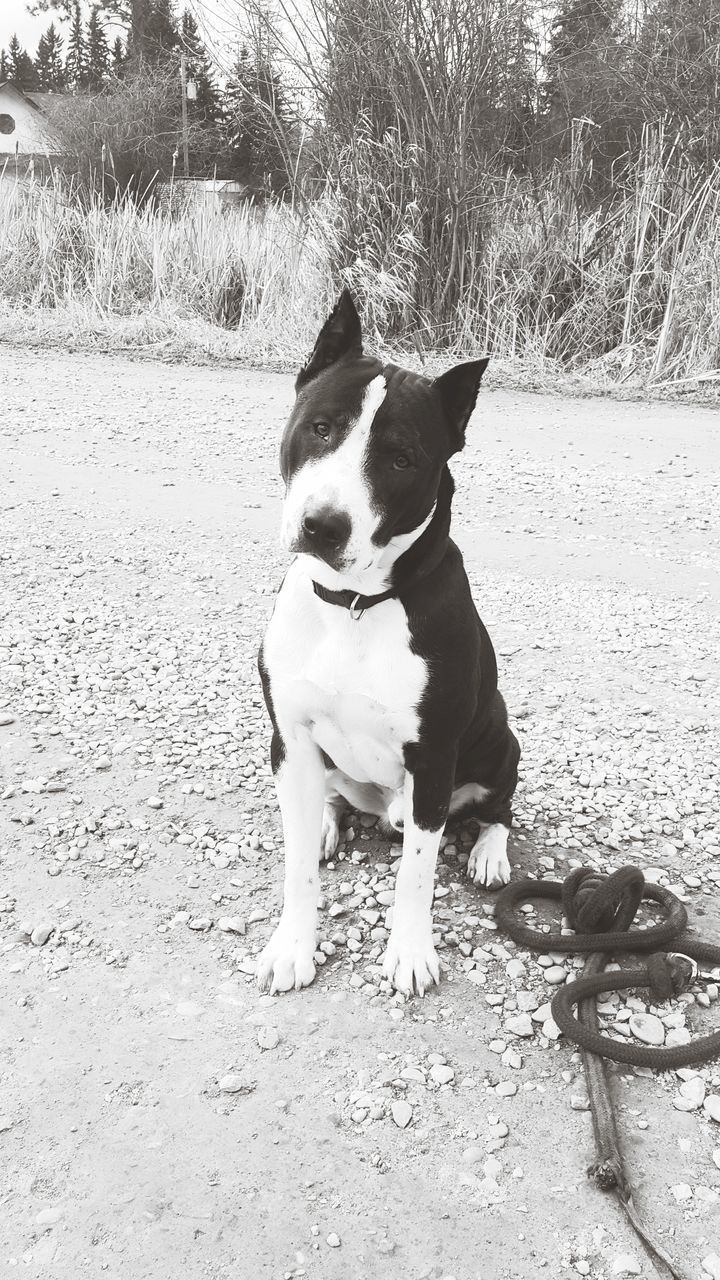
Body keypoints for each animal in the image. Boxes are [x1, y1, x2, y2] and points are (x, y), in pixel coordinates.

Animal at [256, 293, 515, 998]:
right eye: (321, 428)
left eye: (401, 459)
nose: (322, 525)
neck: (355, 605)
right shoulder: (290, 736)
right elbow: (296, 868)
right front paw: (293, 946)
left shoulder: (433, 757)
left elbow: (416, 875)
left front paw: (410, 952)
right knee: (330, 799)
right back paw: (326, 821)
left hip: (499, 742)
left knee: (497, 806)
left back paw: (489, 851)